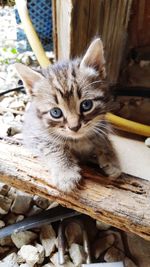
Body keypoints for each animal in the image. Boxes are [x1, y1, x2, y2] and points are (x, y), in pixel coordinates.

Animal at [14, 38, 120, 193]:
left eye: (86, 105)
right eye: (56, 112)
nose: (74, 127)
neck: (78, 140)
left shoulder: (101, 124)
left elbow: (102, 138)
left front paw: (111, 159)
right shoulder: (36, 135)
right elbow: (53, 147)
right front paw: (66, 173)